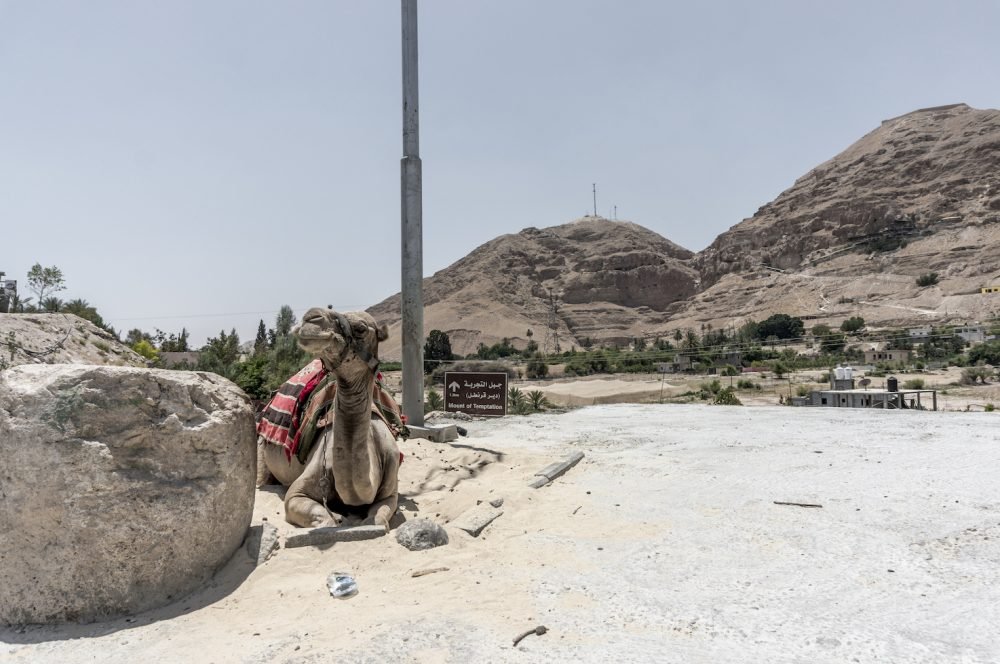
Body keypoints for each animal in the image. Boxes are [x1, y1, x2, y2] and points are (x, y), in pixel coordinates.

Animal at [258, 308, 402, 532]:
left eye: (361, 328)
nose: (312, 317)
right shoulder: (298, 491)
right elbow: (321, 515)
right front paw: (338, 519)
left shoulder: (391, 491)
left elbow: (379, 519)